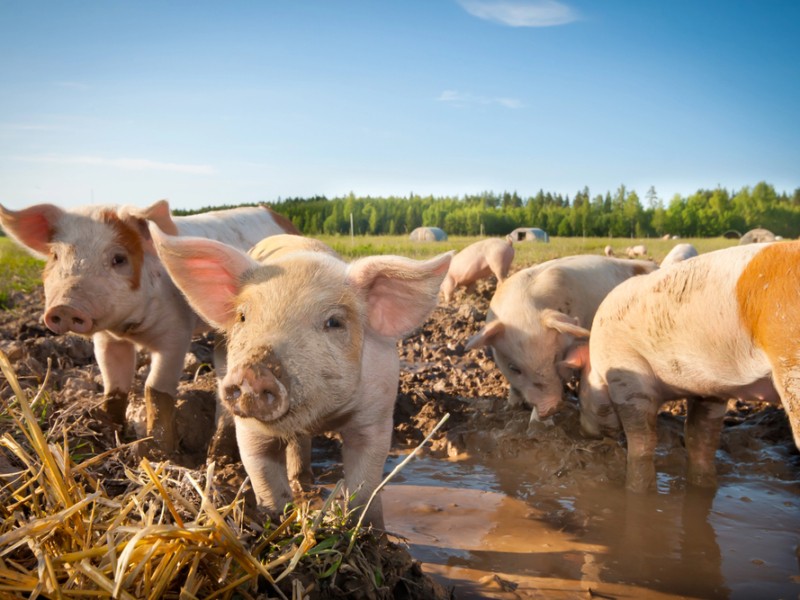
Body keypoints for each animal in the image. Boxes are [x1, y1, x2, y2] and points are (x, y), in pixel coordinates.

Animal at [0, 198, 298, 454]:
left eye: (119, 259)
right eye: (54, 256)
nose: (65, 307)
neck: (131, 329)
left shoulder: (177, 333)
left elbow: (155, 389)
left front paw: (158, 452)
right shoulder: (107, 339)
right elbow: (114, 384)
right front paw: (108, 430)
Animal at [150, 227, 450, 528]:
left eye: (334, 322)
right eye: (243, 316)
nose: (253, 373)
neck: (322, 417)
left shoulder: (377, 413)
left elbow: (365, 484)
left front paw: (369, 529)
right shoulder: (250, 429)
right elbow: (263, 475)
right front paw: (277, 519)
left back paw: (304, 480)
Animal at [572, 241, 800, 494]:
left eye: (580, 390)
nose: (582, 431)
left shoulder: (626, 374)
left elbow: (642, 440)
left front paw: (637, 492)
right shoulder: (710, 390)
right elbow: (700, 438)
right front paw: (702, 488)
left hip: (790, 363)